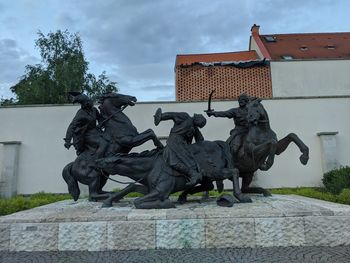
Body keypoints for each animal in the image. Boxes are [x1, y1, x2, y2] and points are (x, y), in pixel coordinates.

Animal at [94, 141, 250, 209]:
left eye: (107, 162)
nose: (96, 162)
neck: (150, 166)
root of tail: (218, 143)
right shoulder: (149, 189)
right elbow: (130, 187)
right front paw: (108, 201)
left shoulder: (160, 191)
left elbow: (137, 201)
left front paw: (166, 203)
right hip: (206, 175)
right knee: (207, 185)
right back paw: (183, 196)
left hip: (215, 171)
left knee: (234, 171)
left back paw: (241, 196)